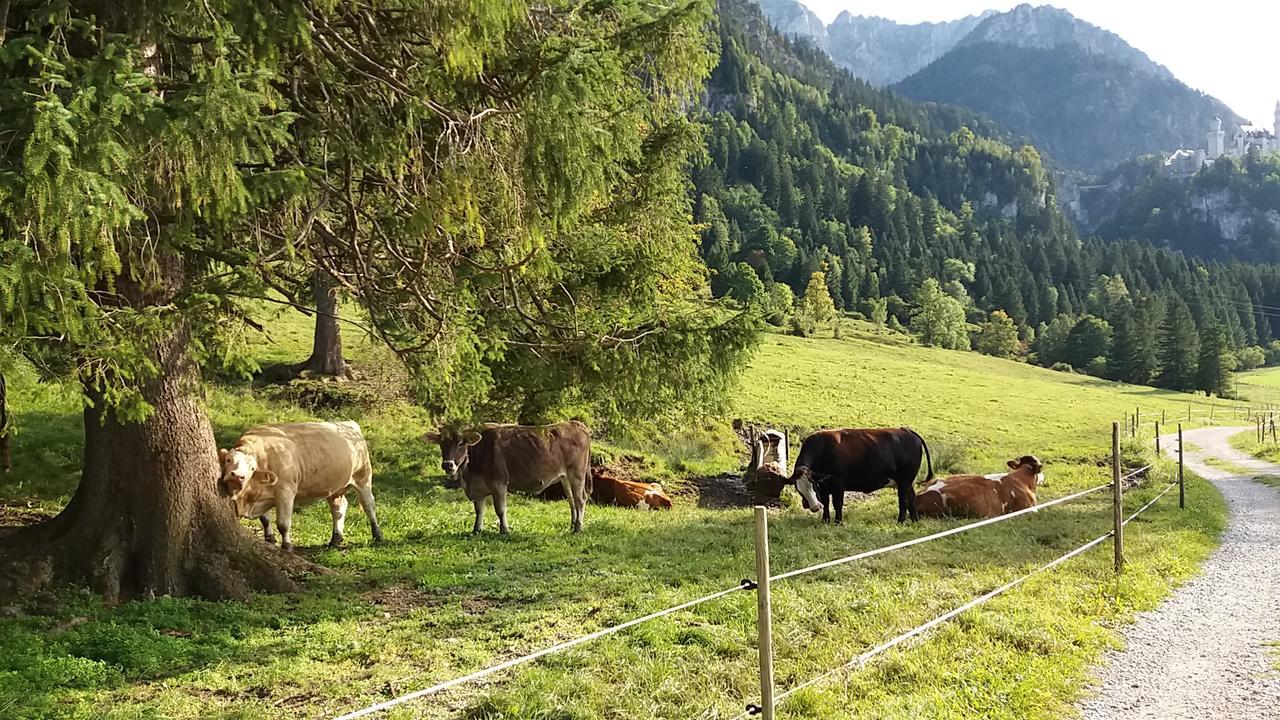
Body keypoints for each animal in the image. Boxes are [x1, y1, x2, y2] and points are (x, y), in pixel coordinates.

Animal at [220, 417, 381, 545]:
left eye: (252, 468)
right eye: (228, 460)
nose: (237, 476)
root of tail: (348, 423)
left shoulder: (285, 492)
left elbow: (283, 524)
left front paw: (287, 546)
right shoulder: (261, 495)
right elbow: (265, 520)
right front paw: (270, 539)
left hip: (363, 477)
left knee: (369, 505)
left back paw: (377, 535)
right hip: (335, 487)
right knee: (338, 509)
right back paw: (335, 539)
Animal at [427, 417, 591, 530]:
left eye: (461, 443)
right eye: (441, 443)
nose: (447, 464)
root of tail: (575, 424)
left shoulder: (499, 483)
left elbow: (500, 509)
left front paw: (504, 530)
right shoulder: (478, 488)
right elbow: (479, 510)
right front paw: (476, 530)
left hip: (577, 474)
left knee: (580, 499)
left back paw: (578, 527)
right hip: (565, 477)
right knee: (571, 500)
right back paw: (573, 524)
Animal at [788, 425, 931, 520]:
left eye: (812, 485)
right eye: (799, 490)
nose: (815, 508)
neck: (823, 449)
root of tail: (905, 430)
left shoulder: (838, 483)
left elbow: (837, 504)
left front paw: (838, 522)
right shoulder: (823, 486)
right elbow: (827, 503)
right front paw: (825, 520)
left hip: (904, 480)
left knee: (903, 500)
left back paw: (901, 521)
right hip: (908, 481)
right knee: (911, 496)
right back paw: (914, 519)